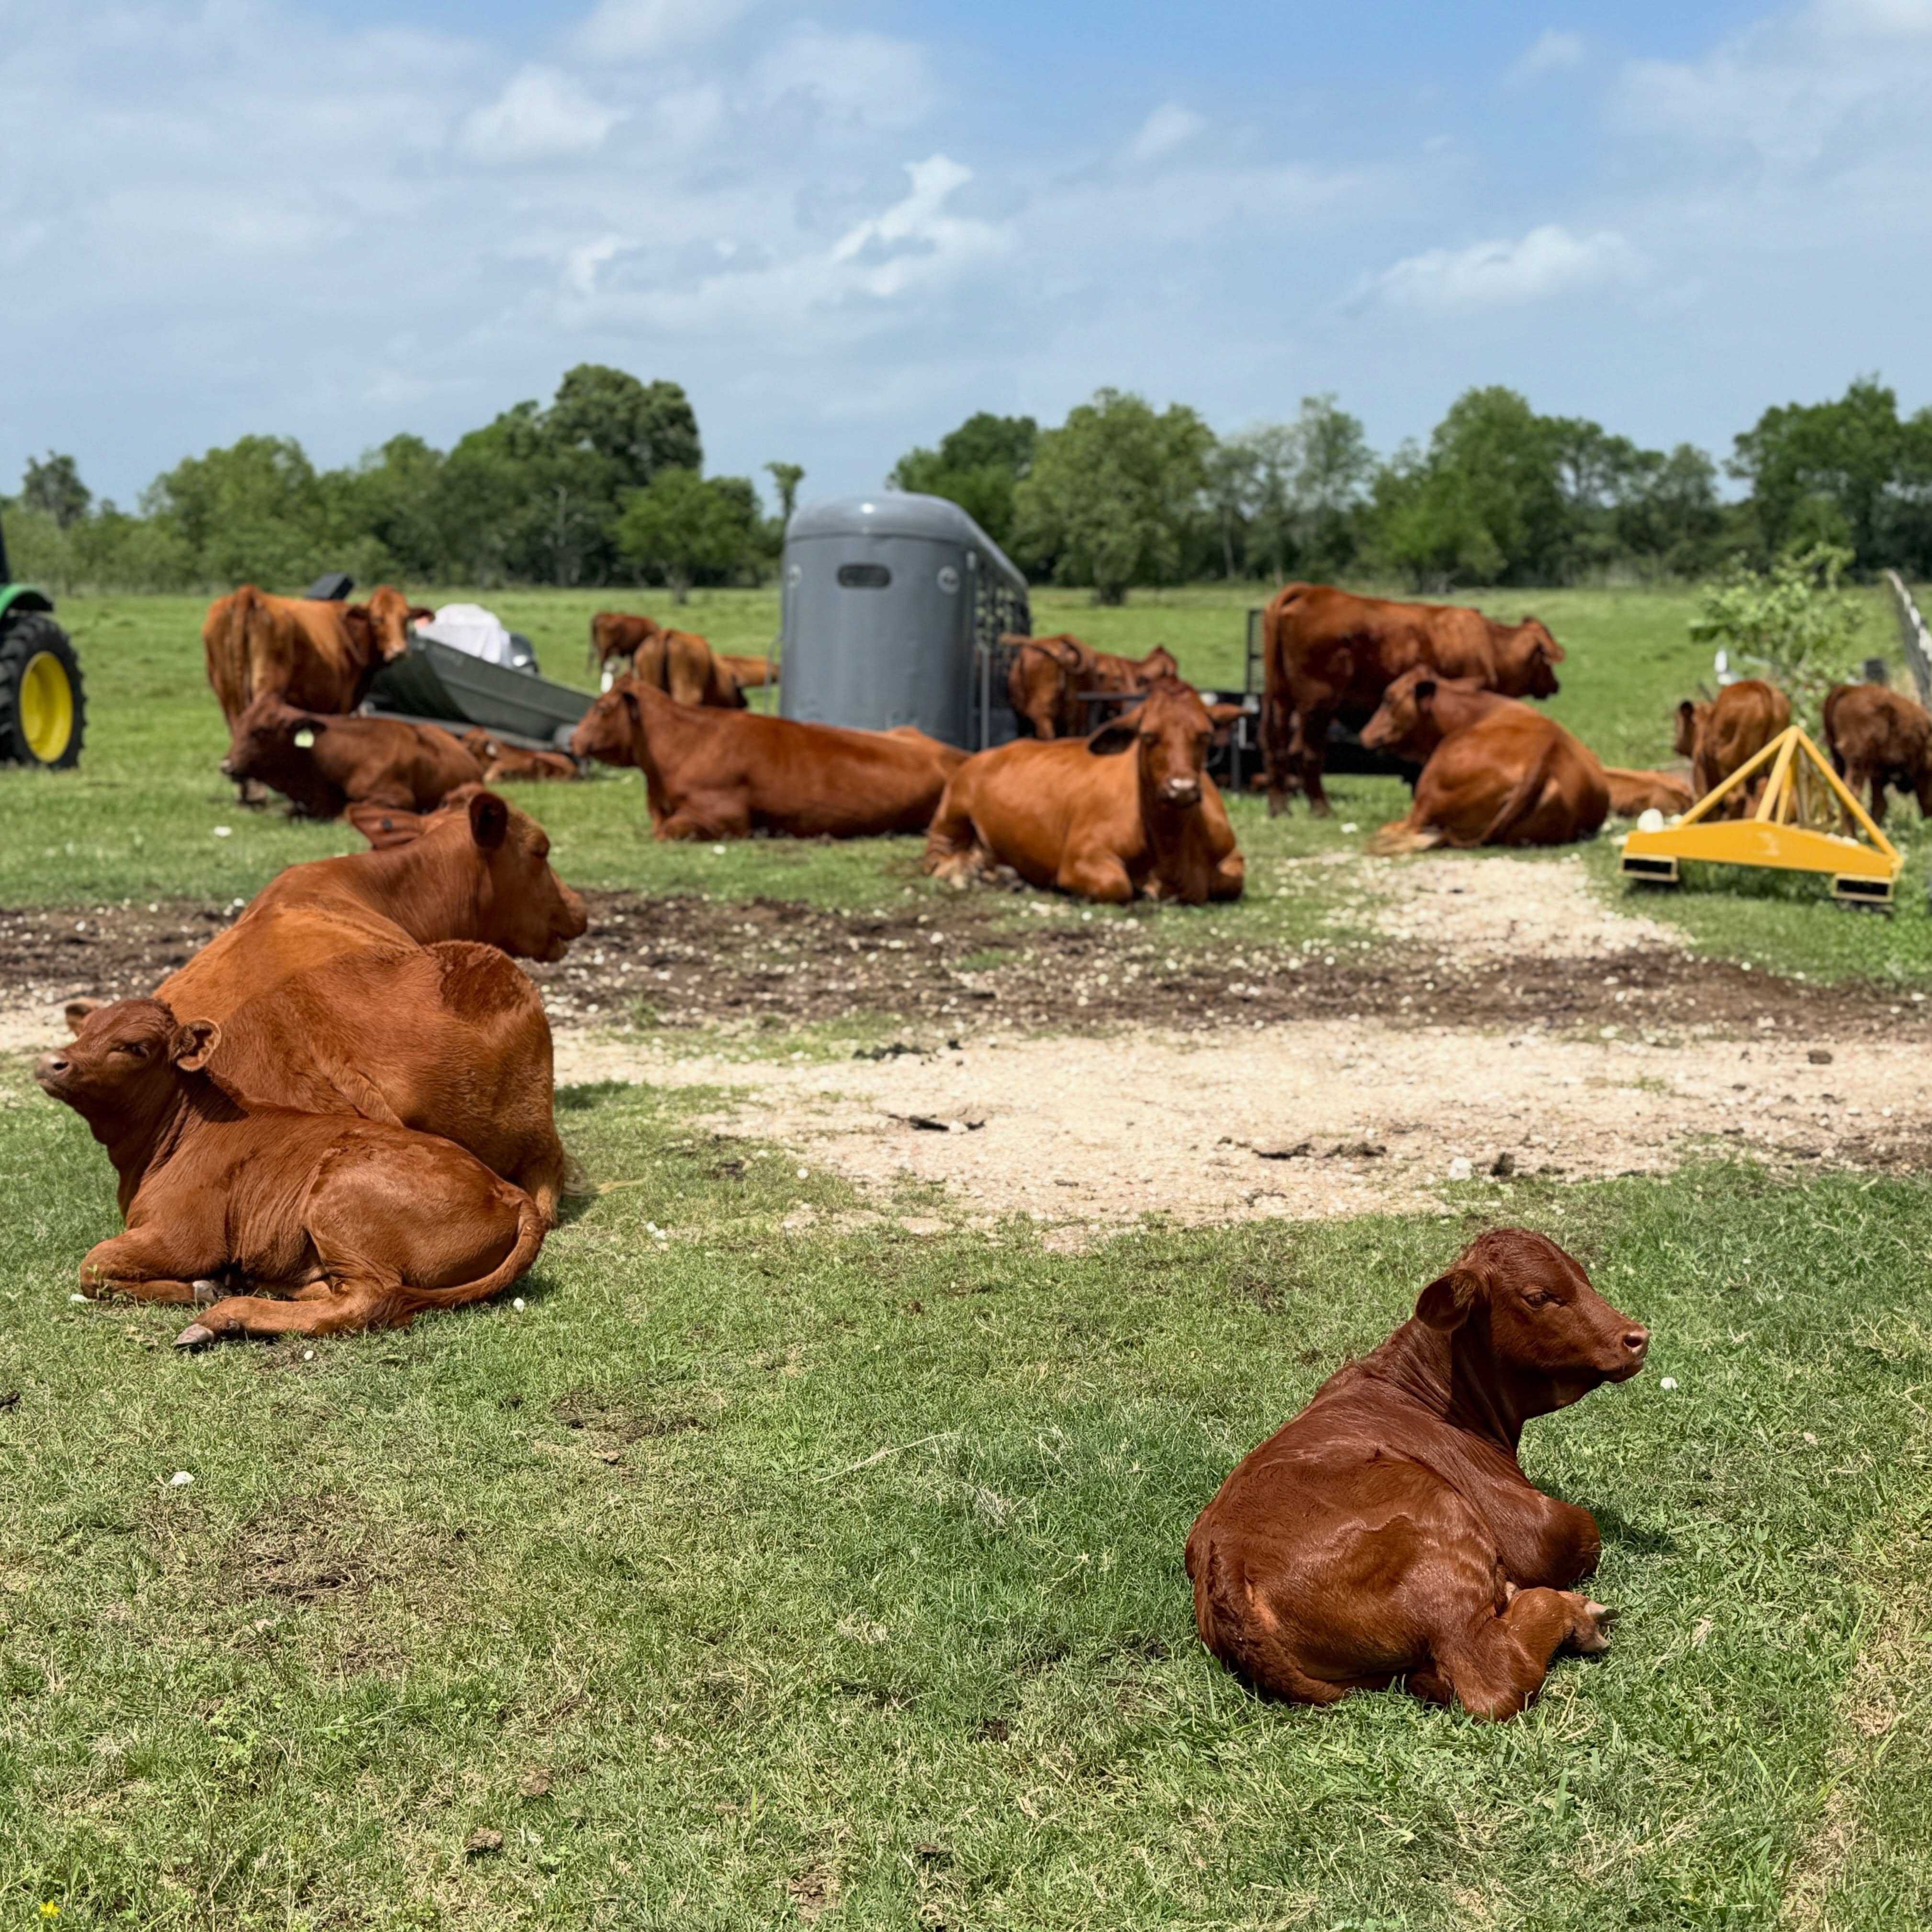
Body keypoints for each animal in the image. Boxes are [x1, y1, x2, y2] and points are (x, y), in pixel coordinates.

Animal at [36, 998, 544, 1346]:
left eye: (135, 1047)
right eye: (83, 1033)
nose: (52, 1062)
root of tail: (506, 1188)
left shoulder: (185, 1238)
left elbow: (94, 1264)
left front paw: (203, 1290)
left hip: (340, 1202)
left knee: (368, 1300)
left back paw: (226, 1315)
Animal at [923, 676, 1244, 904]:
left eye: (1206, 735)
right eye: (1148, 735)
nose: (1182, 788)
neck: (1170, 847)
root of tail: (985, 754)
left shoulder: (1232, 856)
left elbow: (1229, 881)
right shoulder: (1081, 857)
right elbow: (1117, 885)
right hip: (951, 815)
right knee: (937, 857)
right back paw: (966, 871)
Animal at [1185, 1228, 1648, 1720]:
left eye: (1583, 1276)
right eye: (1539, 1296)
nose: (1637, 1337)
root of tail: (1225, 1567)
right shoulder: (1531, 1531)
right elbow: (1584, 1530)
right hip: (1443, 1526)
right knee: (1492, 1676)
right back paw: (1575, 1616)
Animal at [1259, 584, 1564, 818]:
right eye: (1547, 663)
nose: (1556, 685)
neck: (1490, 645)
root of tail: (1311, 591)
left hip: (1280, 701)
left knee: (1277, 749)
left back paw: (1280, 809)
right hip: (1317, 707)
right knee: (1307, 754)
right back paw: (1322, 809)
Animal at [1822, 683, 1932, 827]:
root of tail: (1850, 690)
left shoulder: (1879, 775)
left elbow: (1880, 805)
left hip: (1839, 760)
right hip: (1857, 763)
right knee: (1852, 792)